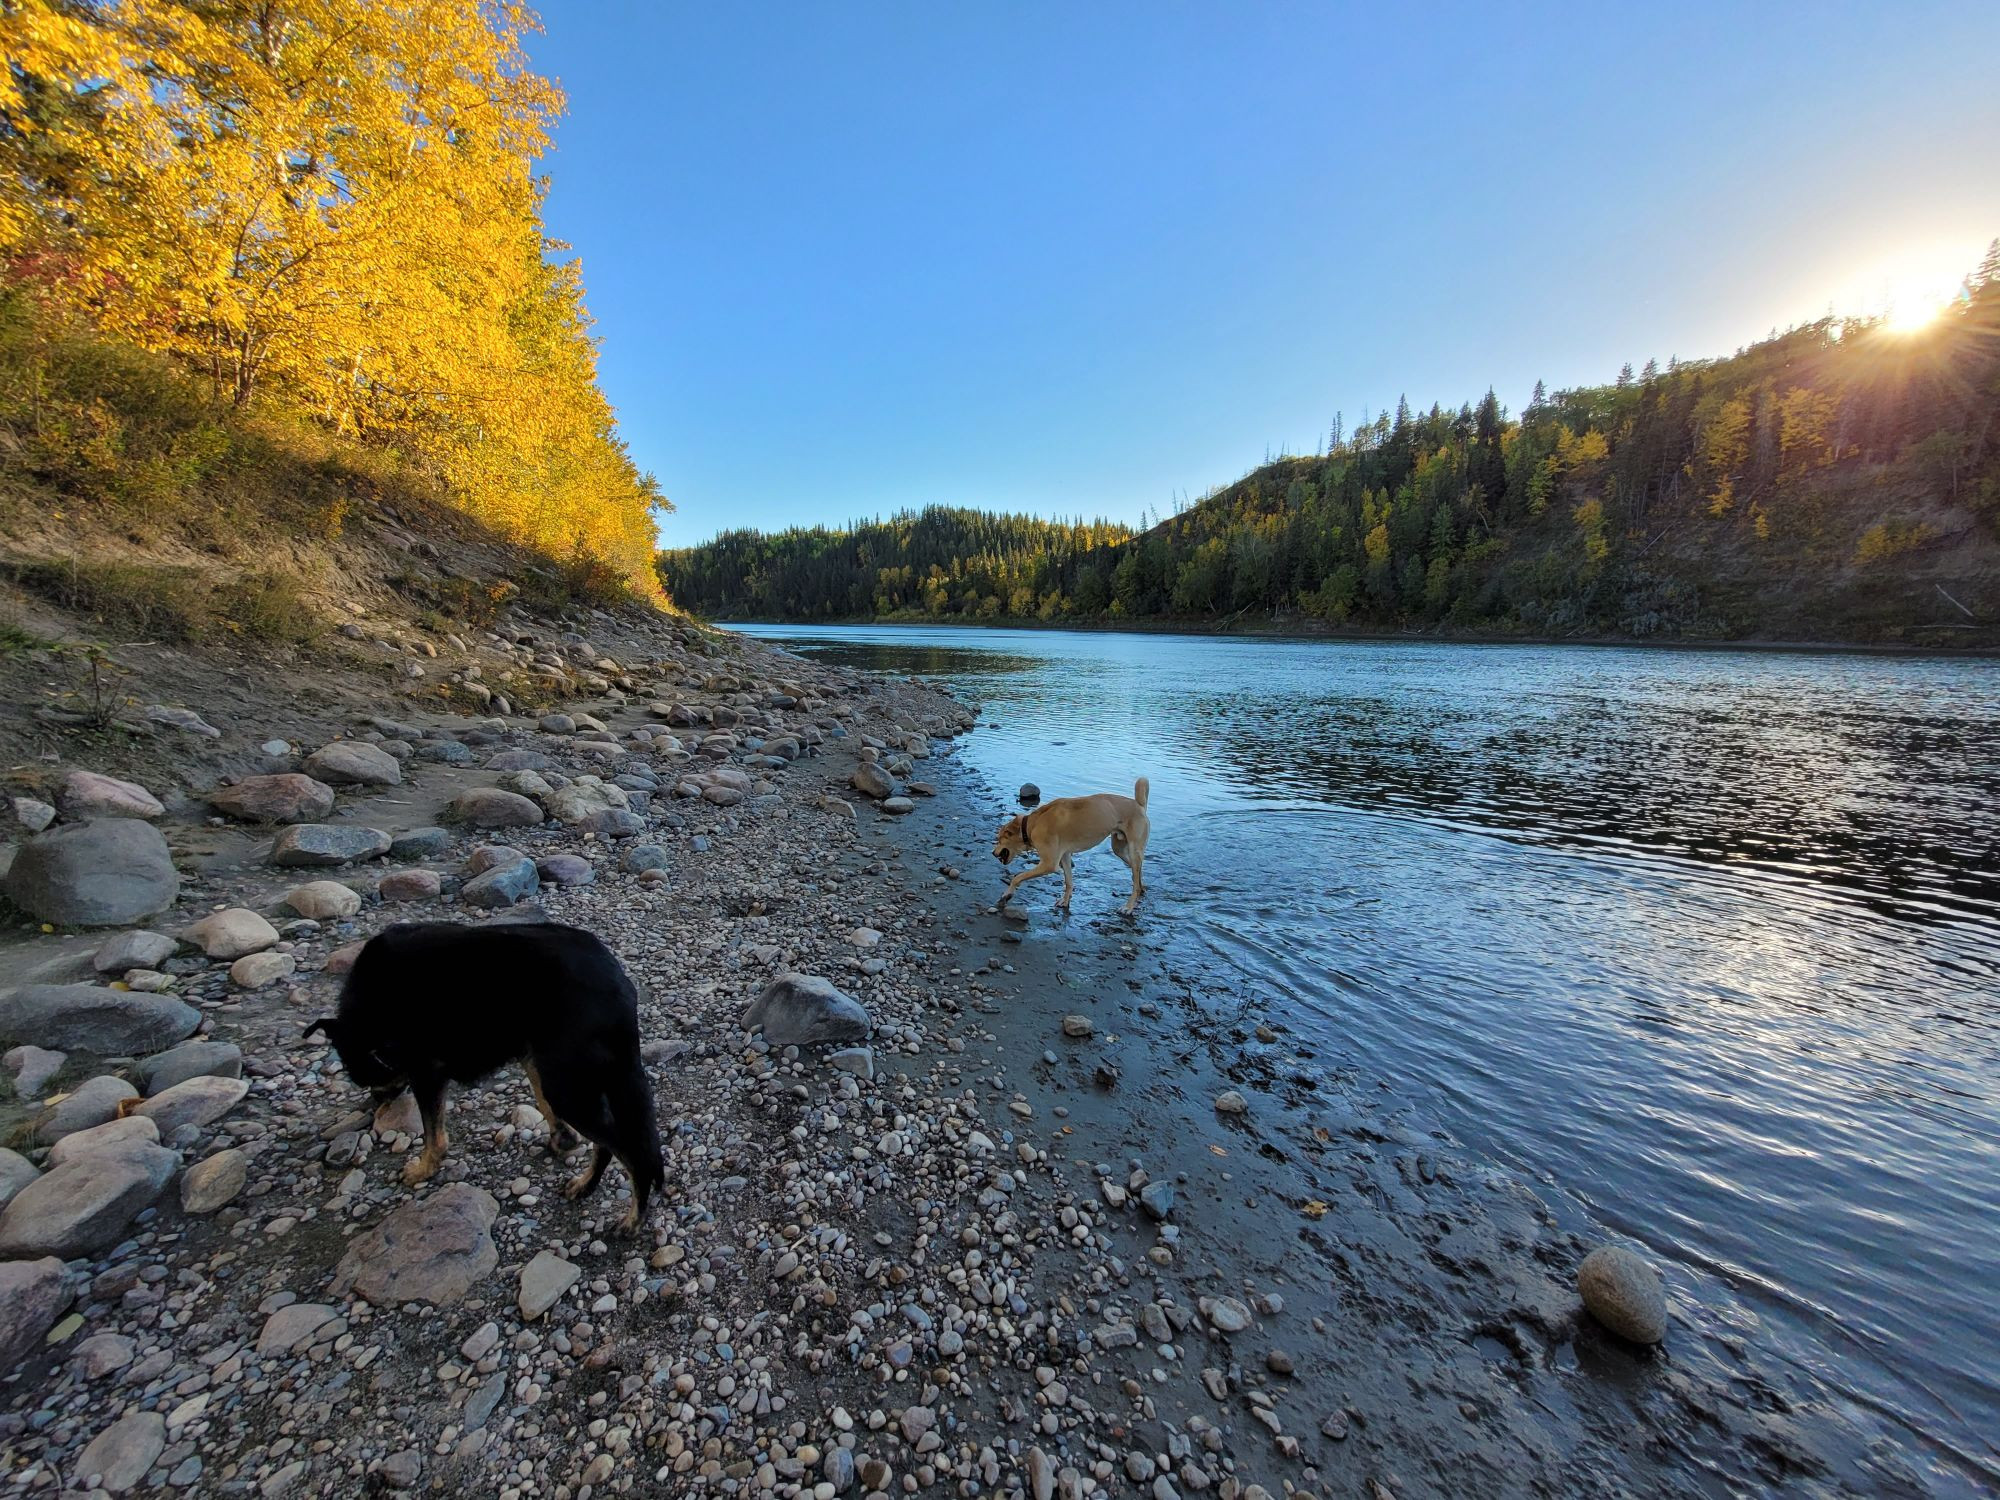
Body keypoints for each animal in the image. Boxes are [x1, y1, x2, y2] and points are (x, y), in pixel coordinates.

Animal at [304, 928, 664, 1232]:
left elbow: (434, 1135)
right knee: (609, 1143)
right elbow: (543, 1103)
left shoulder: (426, 1071)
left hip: (569, 1087)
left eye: (361, 1075)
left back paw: (633, 1218)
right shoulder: (530, 1055)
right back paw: (586, 1185)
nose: (376, 1102)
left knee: (631, 1152)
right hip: (576, 1077)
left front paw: (424, 1168)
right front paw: (563, 1140)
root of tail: (618, 983)